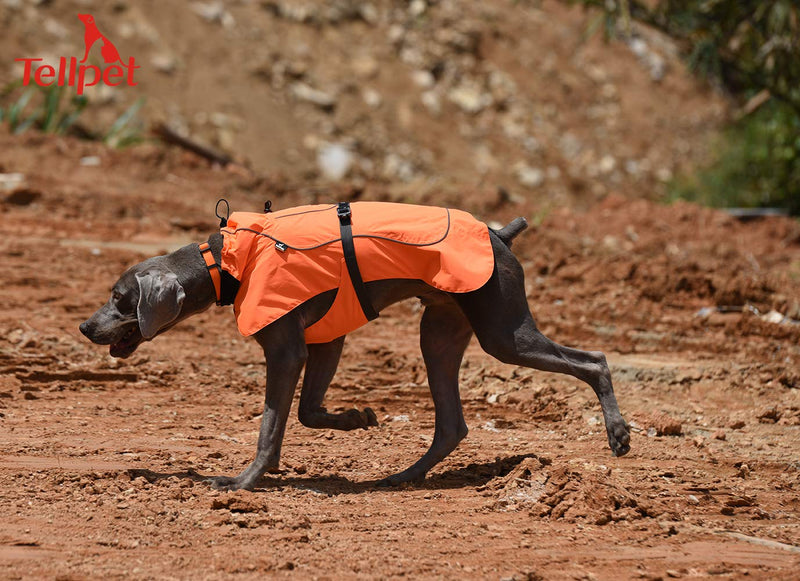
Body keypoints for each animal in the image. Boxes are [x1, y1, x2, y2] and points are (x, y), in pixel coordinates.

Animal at [83, 204, 632, 490]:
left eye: (119, 298)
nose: (86, 327)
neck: (227, 261)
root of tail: (499, 233)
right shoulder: (326, 338)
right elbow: (302, 414)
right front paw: (355, 418)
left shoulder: (287, 350)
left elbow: (271, 425)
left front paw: (244, 482)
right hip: (439, 333)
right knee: (452, 425)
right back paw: (402, 476)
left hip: (503, 332)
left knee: (594, 360)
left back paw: (618, 434)